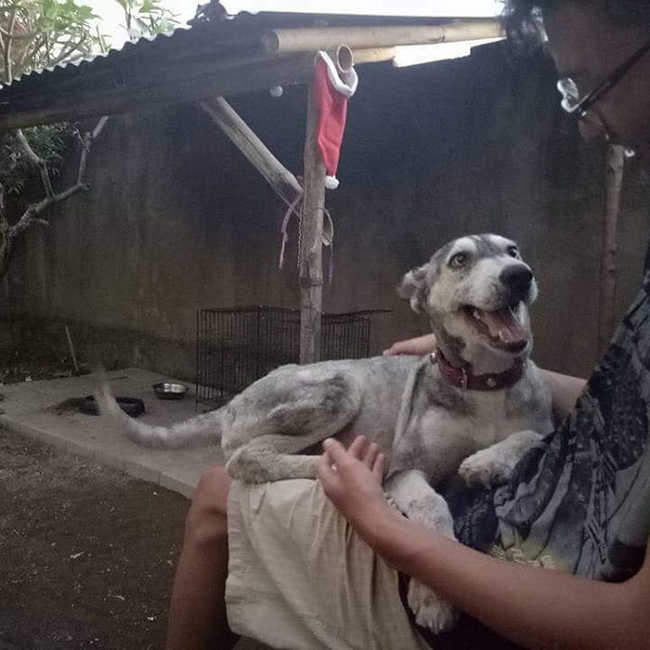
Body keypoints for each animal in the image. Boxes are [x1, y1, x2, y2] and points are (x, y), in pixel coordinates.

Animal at [96, 234, 552, 632]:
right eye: (460, 259)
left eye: (513, 250)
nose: (520, 275)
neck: (485, 384)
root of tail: (234, 399)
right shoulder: (407, 468)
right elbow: (434, 507)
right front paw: (434, 599)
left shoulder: (543, 423)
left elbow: (533, 437)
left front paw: (488, 461)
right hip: (339, 391)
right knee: (246, 456)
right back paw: (332, 465)